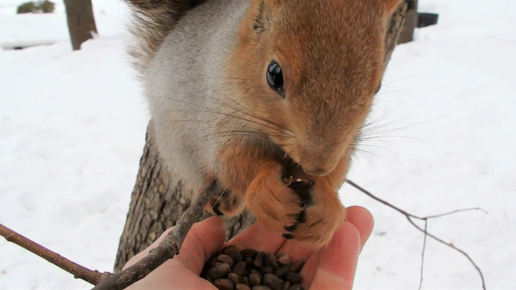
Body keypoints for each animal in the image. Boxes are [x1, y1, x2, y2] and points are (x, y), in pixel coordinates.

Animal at [124, 0, 404, 249]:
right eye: (274, 74)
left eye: (377, 86)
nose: (317, 166)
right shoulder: (218, 119)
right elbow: (231, 161)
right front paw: (266, 190)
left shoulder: (348, 144)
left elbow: (338, 171)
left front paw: (326, 206)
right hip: (176, 141)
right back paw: (219, 199)